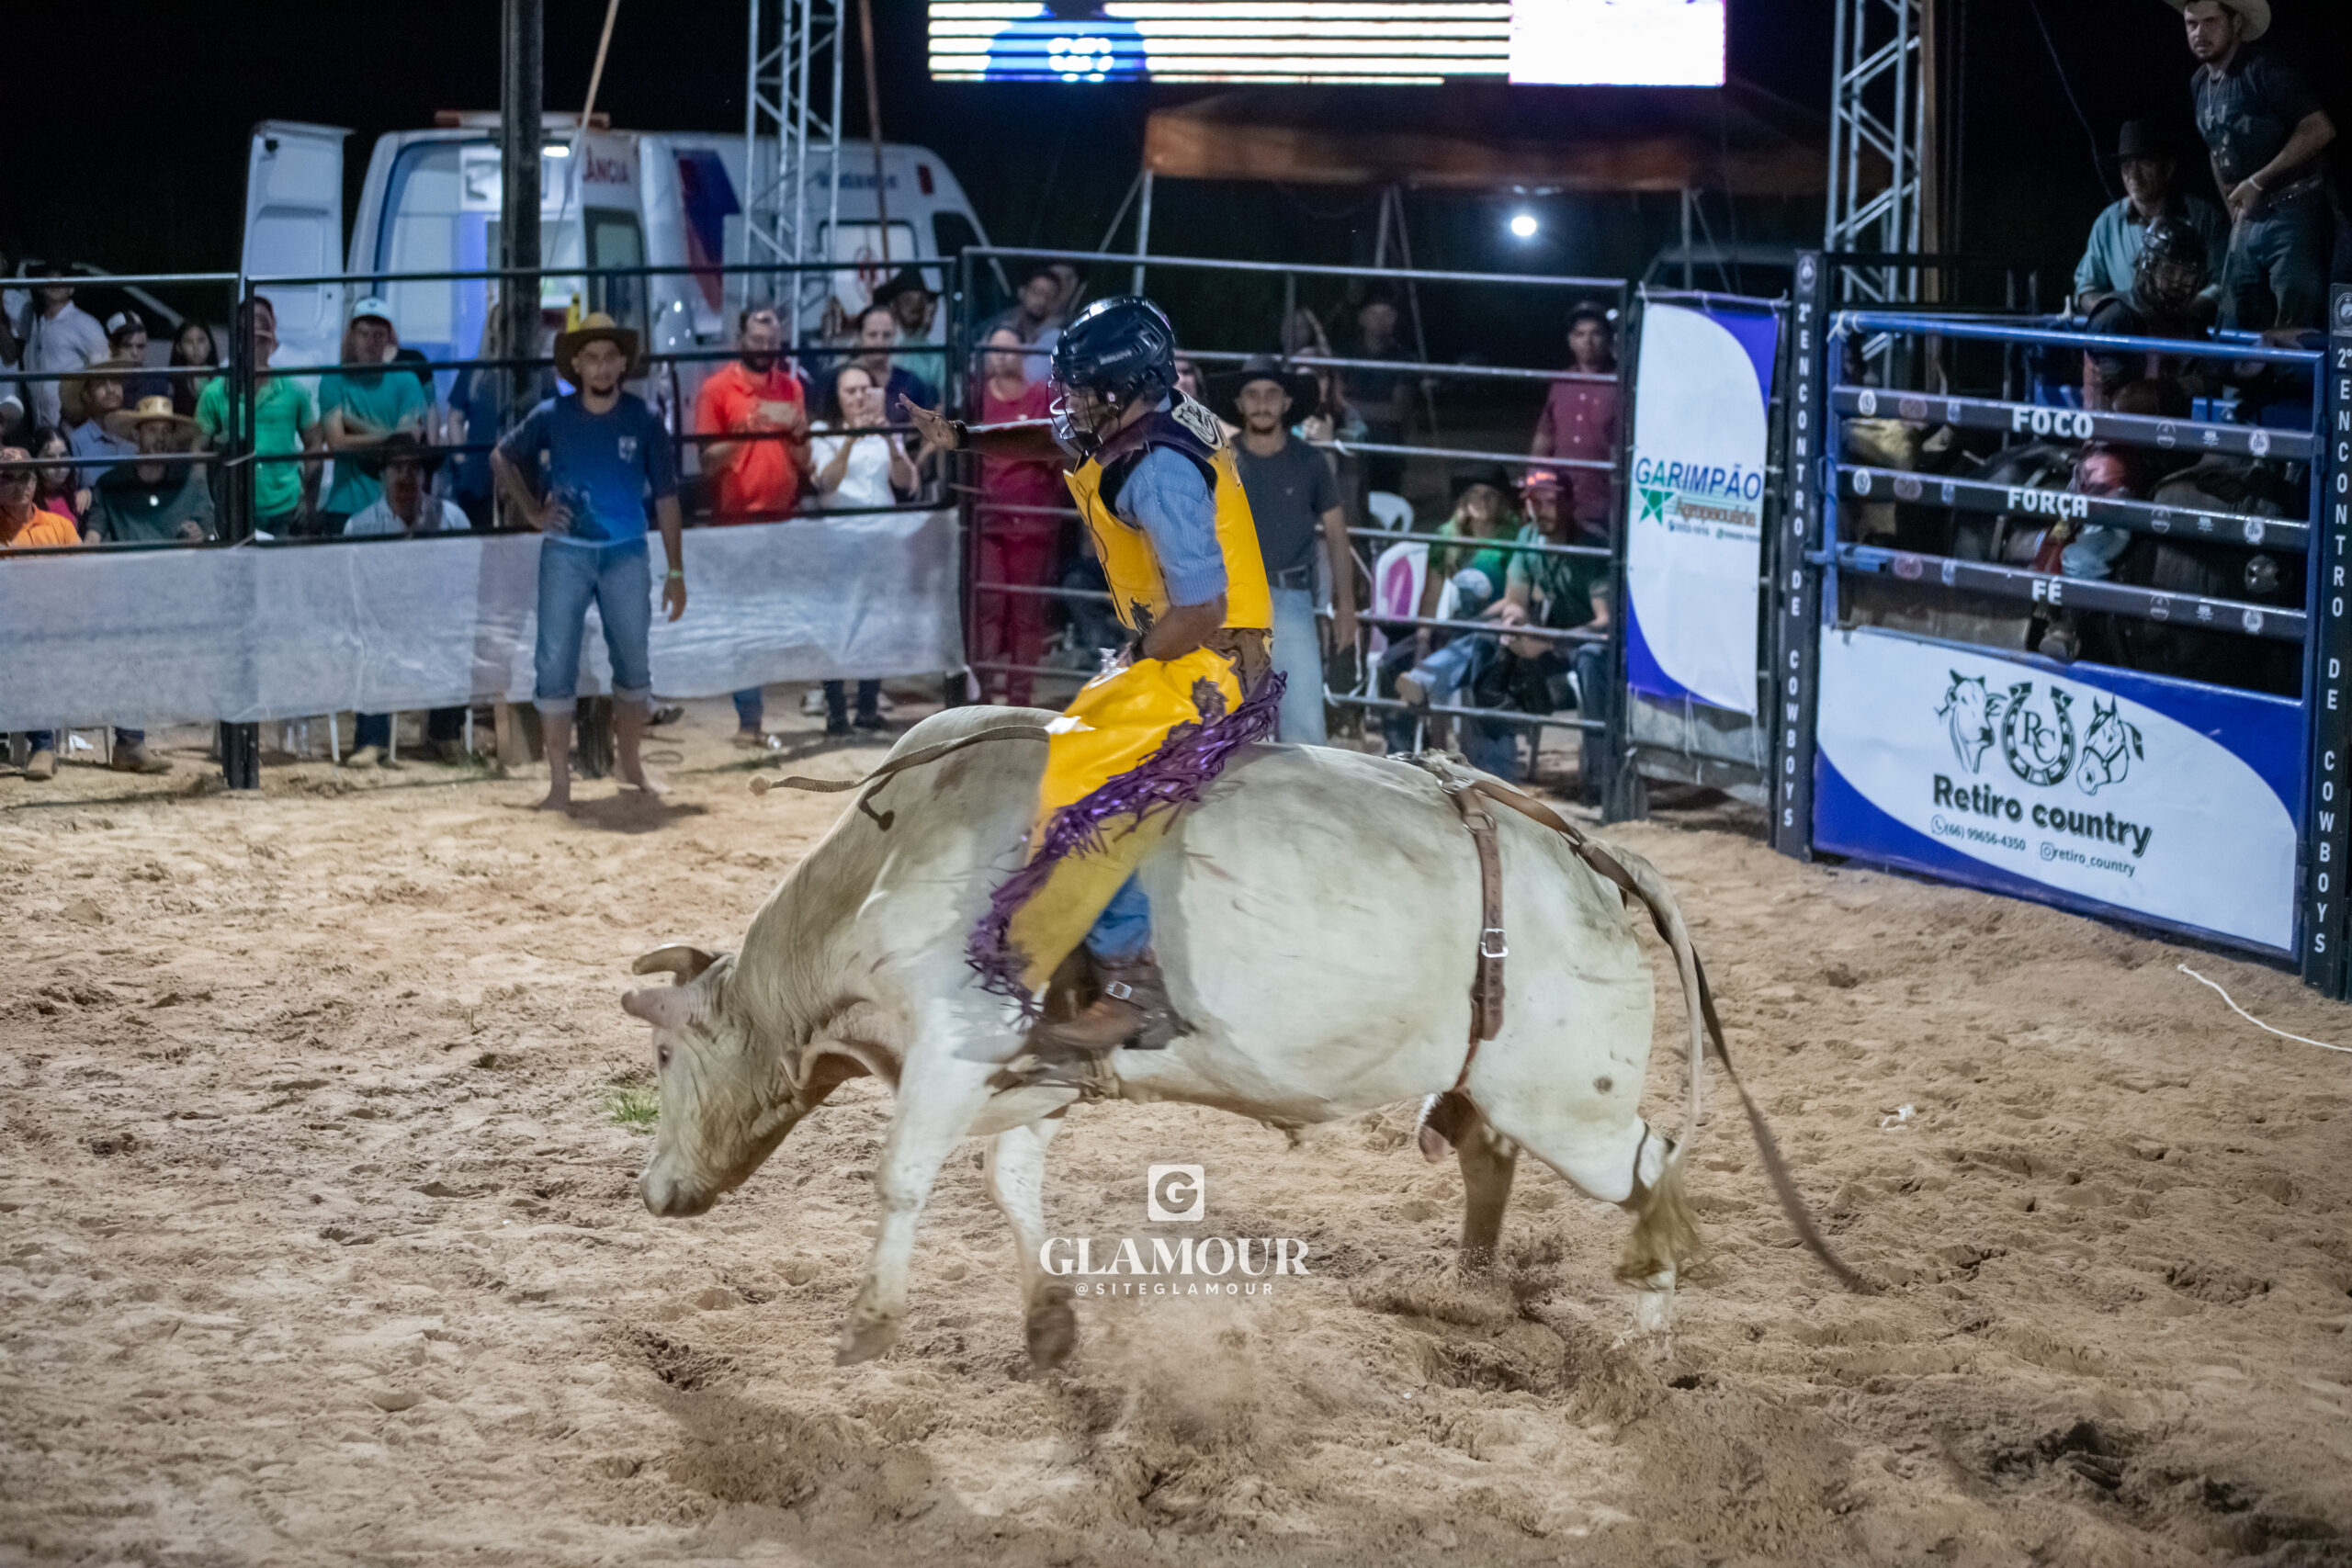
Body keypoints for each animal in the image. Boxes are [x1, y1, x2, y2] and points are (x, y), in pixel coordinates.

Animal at [621, 705, 1725, 1371]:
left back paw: (1649, 1339)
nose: (653, 1191)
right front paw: (1049, 1322)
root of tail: (1579, 849)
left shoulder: (951, 1044)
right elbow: (1010, 1182)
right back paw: (1472, 1289)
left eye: (667, 1056)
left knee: (1652, 1165)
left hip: (1570, 1101)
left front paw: (866, 1325)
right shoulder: (1037, 1072)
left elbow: (903, 1177)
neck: (885, 863)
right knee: (1489, 1153)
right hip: (1501, 1081)